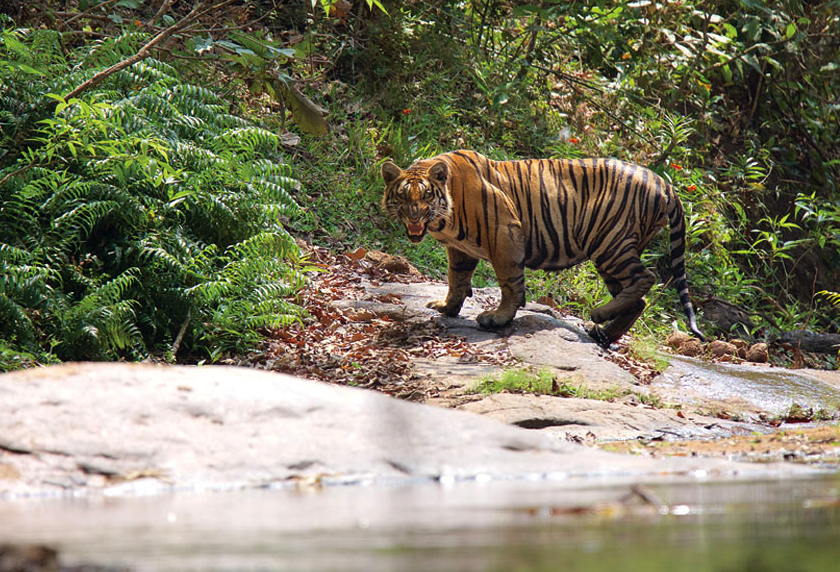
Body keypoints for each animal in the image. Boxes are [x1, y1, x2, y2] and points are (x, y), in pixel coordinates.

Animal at [380, 147, 704, 346]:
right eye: (404, 196)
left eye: (425, 196)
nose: (414, 216)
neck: (444, 218)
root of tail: (665, 183)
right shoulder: (460, 250)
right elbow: (456, 279)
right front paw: (447, 308)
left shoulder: (505, 233)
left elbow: (510, 283)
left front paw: (498, 318)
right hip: (612, 252)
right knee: (639, 300)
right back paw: (603, 333)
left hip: (610, 243)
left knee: (646, 278)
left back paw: (598, 316)